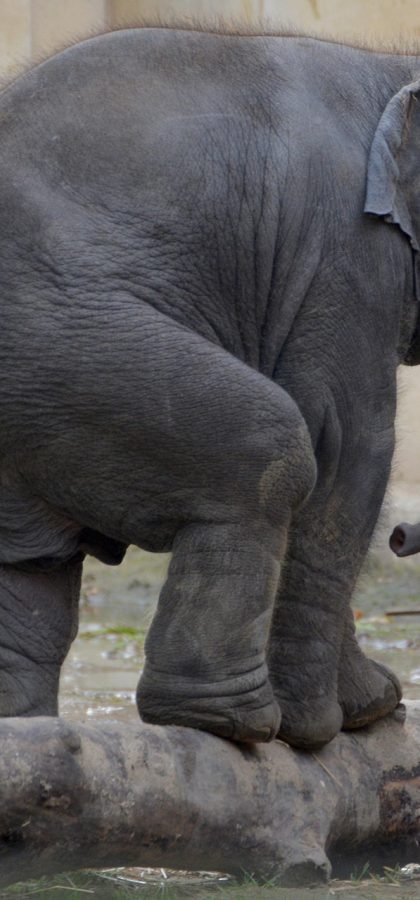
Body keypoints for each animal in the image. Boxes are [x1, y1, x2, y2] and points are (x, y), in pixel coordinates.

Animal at [0, 23, 419, 750]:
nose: (403, 539)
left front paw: (366, 708)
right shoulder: (346, 258)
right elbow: (348, 448)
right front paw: (334, 724)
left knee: (30, 576)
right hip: (66, 344)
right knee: (272, 457)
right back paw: (231, 722)